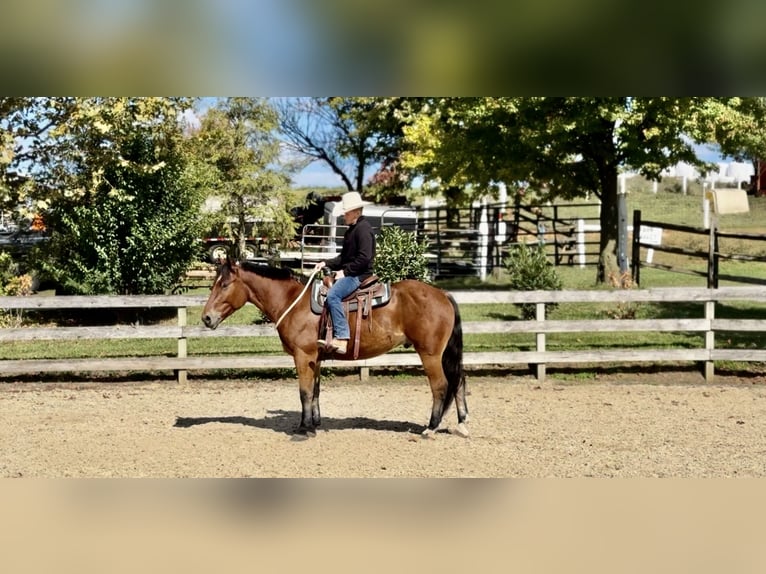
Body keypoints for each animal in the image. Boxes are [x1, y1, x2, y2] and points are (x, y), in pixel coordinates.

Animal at [201, 259, 468, 438]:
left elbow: (304, 392)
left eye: (224, 284)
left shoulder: (303, 356)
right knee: (459, 381)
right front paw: (314, 423)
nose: (206, 318)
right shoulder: (316, 358)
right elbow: (316, 391)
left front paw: (304, 429)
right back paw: (462, 424)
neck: (293, 302)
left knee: (441, 386)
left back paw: (431, 427)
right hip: (443, 354)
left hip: (430, 354)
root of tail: (442, 294)